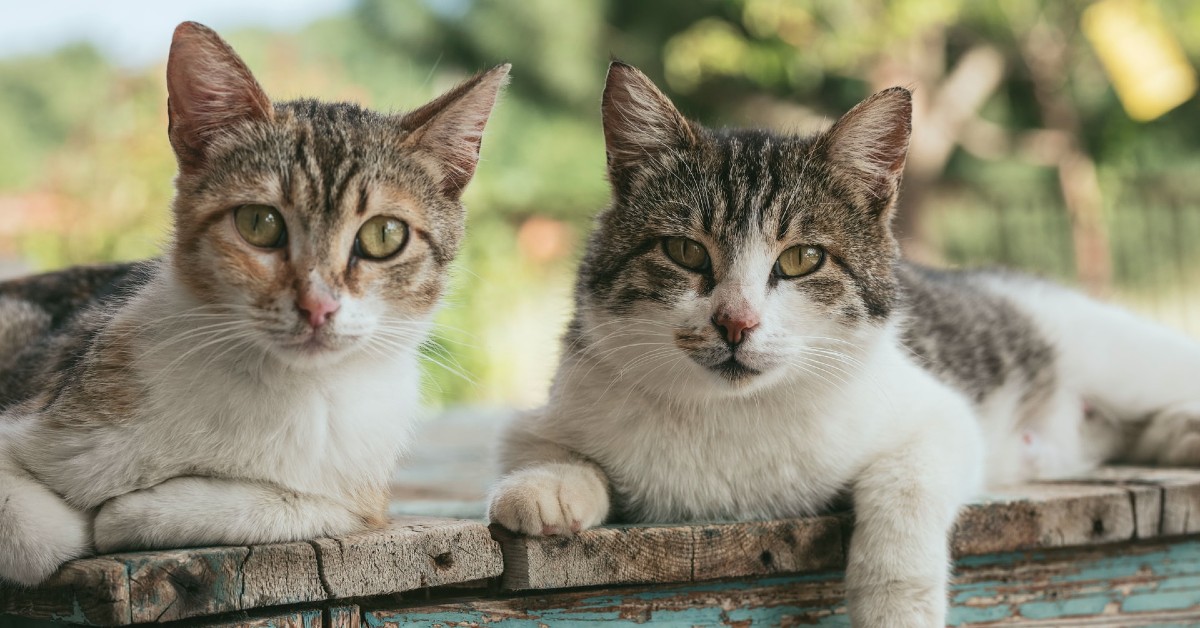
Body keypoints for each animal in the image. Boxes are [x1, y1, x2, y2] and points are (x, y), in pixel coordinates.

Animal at [0, 20, 508, 590]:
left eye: (384, 235)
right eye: (259, 224)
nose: (317, 306)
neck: (278, 388)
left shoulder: (360, 494)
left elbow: (299, 504)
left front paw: (134, 512)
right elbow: (40, 536)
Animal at [484, 61, 1200, 624]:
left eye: (802, 259)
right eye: (685, 251)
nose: (735, 322)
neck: (735, 417)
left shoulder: (940, 417)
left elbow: (903, 489)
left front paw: (894, 604)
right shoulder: (556, 400)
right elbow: (541, 449)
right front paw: (547, 487)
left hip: (1119, 354)